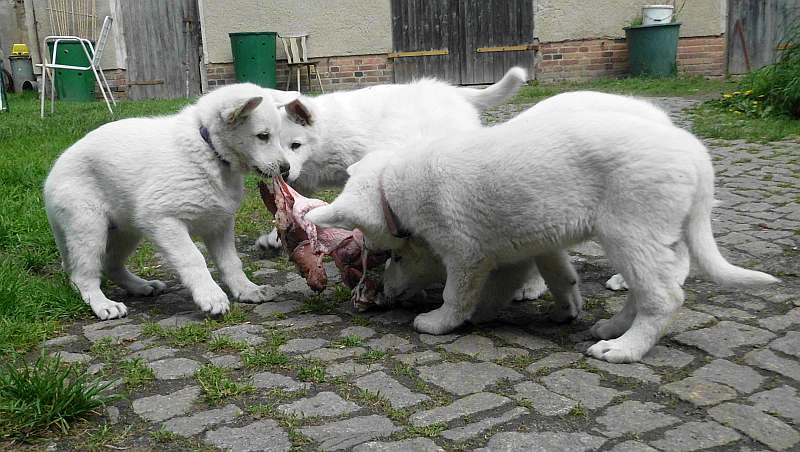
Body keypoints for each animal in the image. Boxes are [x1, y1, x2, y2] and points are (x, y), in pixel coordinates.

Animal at [44, 83, 294, 320]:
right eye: (263, 136)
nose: (286, 168)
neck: (209, 148)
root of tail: (50, 177)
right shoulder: (163, 220)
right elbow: (193, 258)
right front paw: (211, 296)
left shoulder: (219, 224)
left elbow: (231, 262)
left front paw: (246, 289)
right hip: (89, 228)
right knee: (83, 276)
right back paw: (103, 304)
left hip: (126, 231)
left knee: (110, 265)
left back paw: (141, 286)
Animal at [258, 67, 532, 251]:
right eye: (266, 143)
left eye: (295, 145)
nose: (283, 171)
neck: (325, 136)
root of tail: (454, 93)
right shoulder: (301, 177)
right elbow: (291, 201)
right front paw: (276, 235)